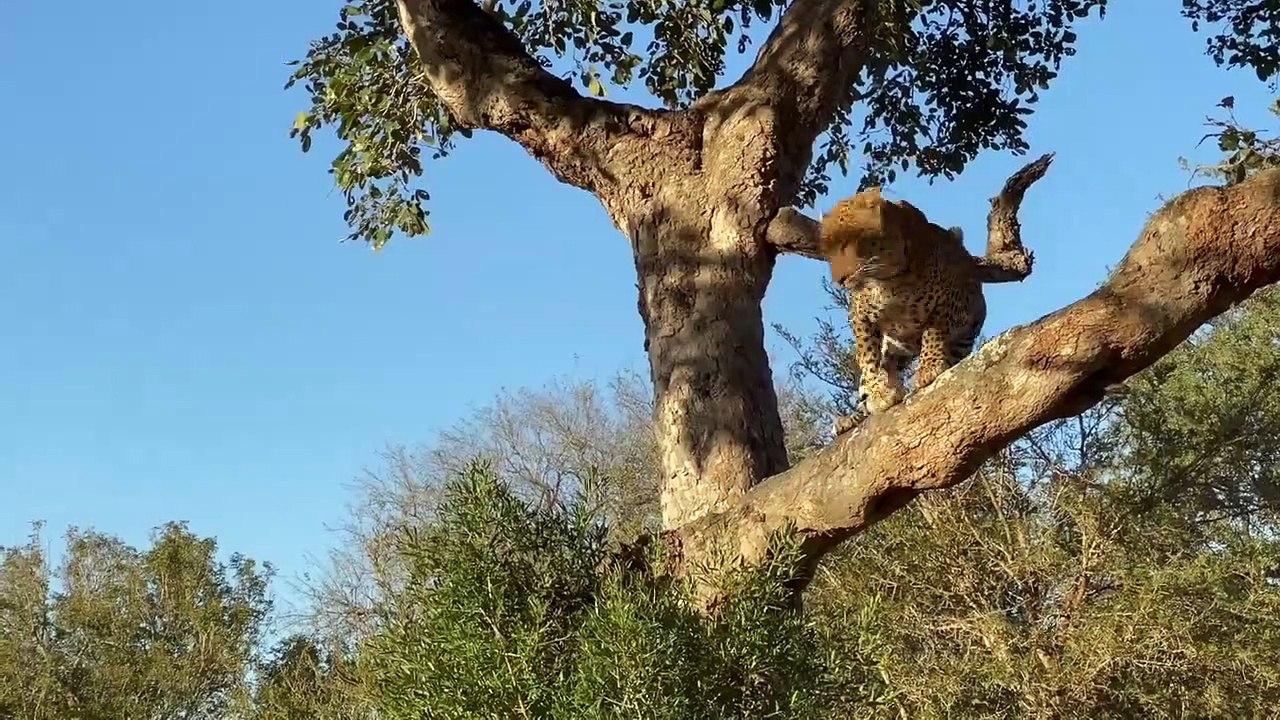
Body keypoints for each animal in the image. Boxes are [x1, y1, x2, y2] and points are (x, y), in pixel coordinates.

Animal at [818, 186, 986, 431]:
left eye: (849, 242)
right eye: (828, 253)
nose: (839, 281)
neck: (889, 279)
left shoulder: (948, 301)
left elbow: (933, 333)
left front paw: (929, 367)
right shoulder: (859, 316)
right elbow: (868, 356)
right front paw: (878, 393)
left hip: (964, 336)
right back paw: (852, 417)